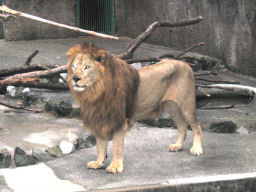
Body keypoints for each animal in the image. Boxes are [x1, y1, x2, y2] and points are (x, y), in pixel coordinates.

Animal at [67, 43, 203, 174]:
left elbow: (116, 146)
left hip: (187, 104)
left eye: (87, 67)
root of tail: (185, 64)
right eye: (74, 66)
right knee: (182, 126)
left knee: (197, 127)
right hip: (172, 106)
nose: (75, 78)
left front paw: (115, 167)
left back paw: (197, 149)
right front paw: (98, 163)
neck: (95, 91)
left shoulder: (120, 121)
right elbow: (100, 145)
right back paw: (178, 146)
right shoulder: (100, 118)